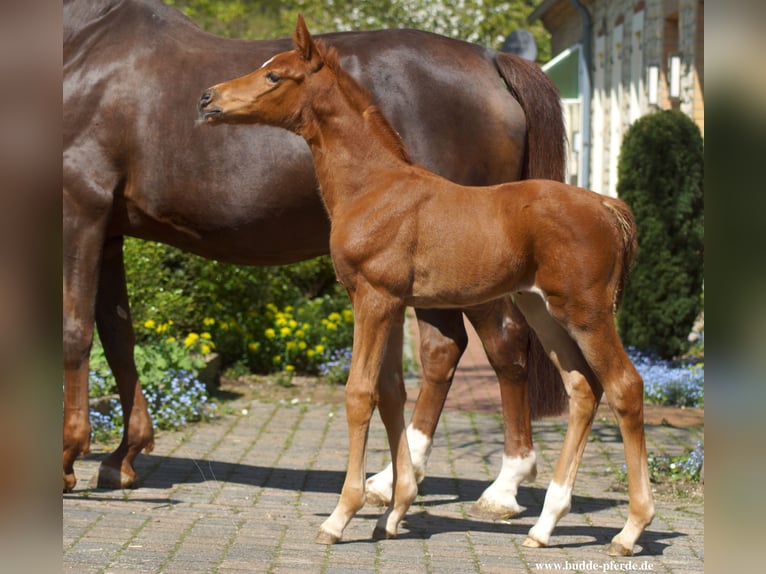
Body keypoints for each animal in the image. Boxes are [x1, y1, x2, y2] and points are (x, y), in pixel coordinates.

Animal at [63, 0, 568, 512]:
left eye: (273, 76)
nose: (207, 100)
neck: (88, 43)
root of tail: (490, 60)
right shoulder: (108, 232)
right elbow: (118, 338)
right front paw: (122, 458)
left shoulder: (80, 208)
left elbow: (75, 333)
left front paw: (69, 458)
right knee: (443, 351)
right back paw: (393, 480)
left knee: (502, 343)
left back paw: (504, 487)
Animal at [199, 16, 655, 556]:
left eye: (274, 75)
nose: (207, 98)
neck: (374, 187)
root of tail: (606, 205)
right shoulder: (391, 303)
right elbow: (392, 392)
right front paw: (394, 511)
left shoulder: (373, 299)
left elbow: (360, 394)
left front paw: (341, 515)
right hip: (543, 309)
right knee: (583, 387)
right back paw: (544, 526)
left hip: (586, 312)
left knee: (625, 385)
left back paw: (629, 530)